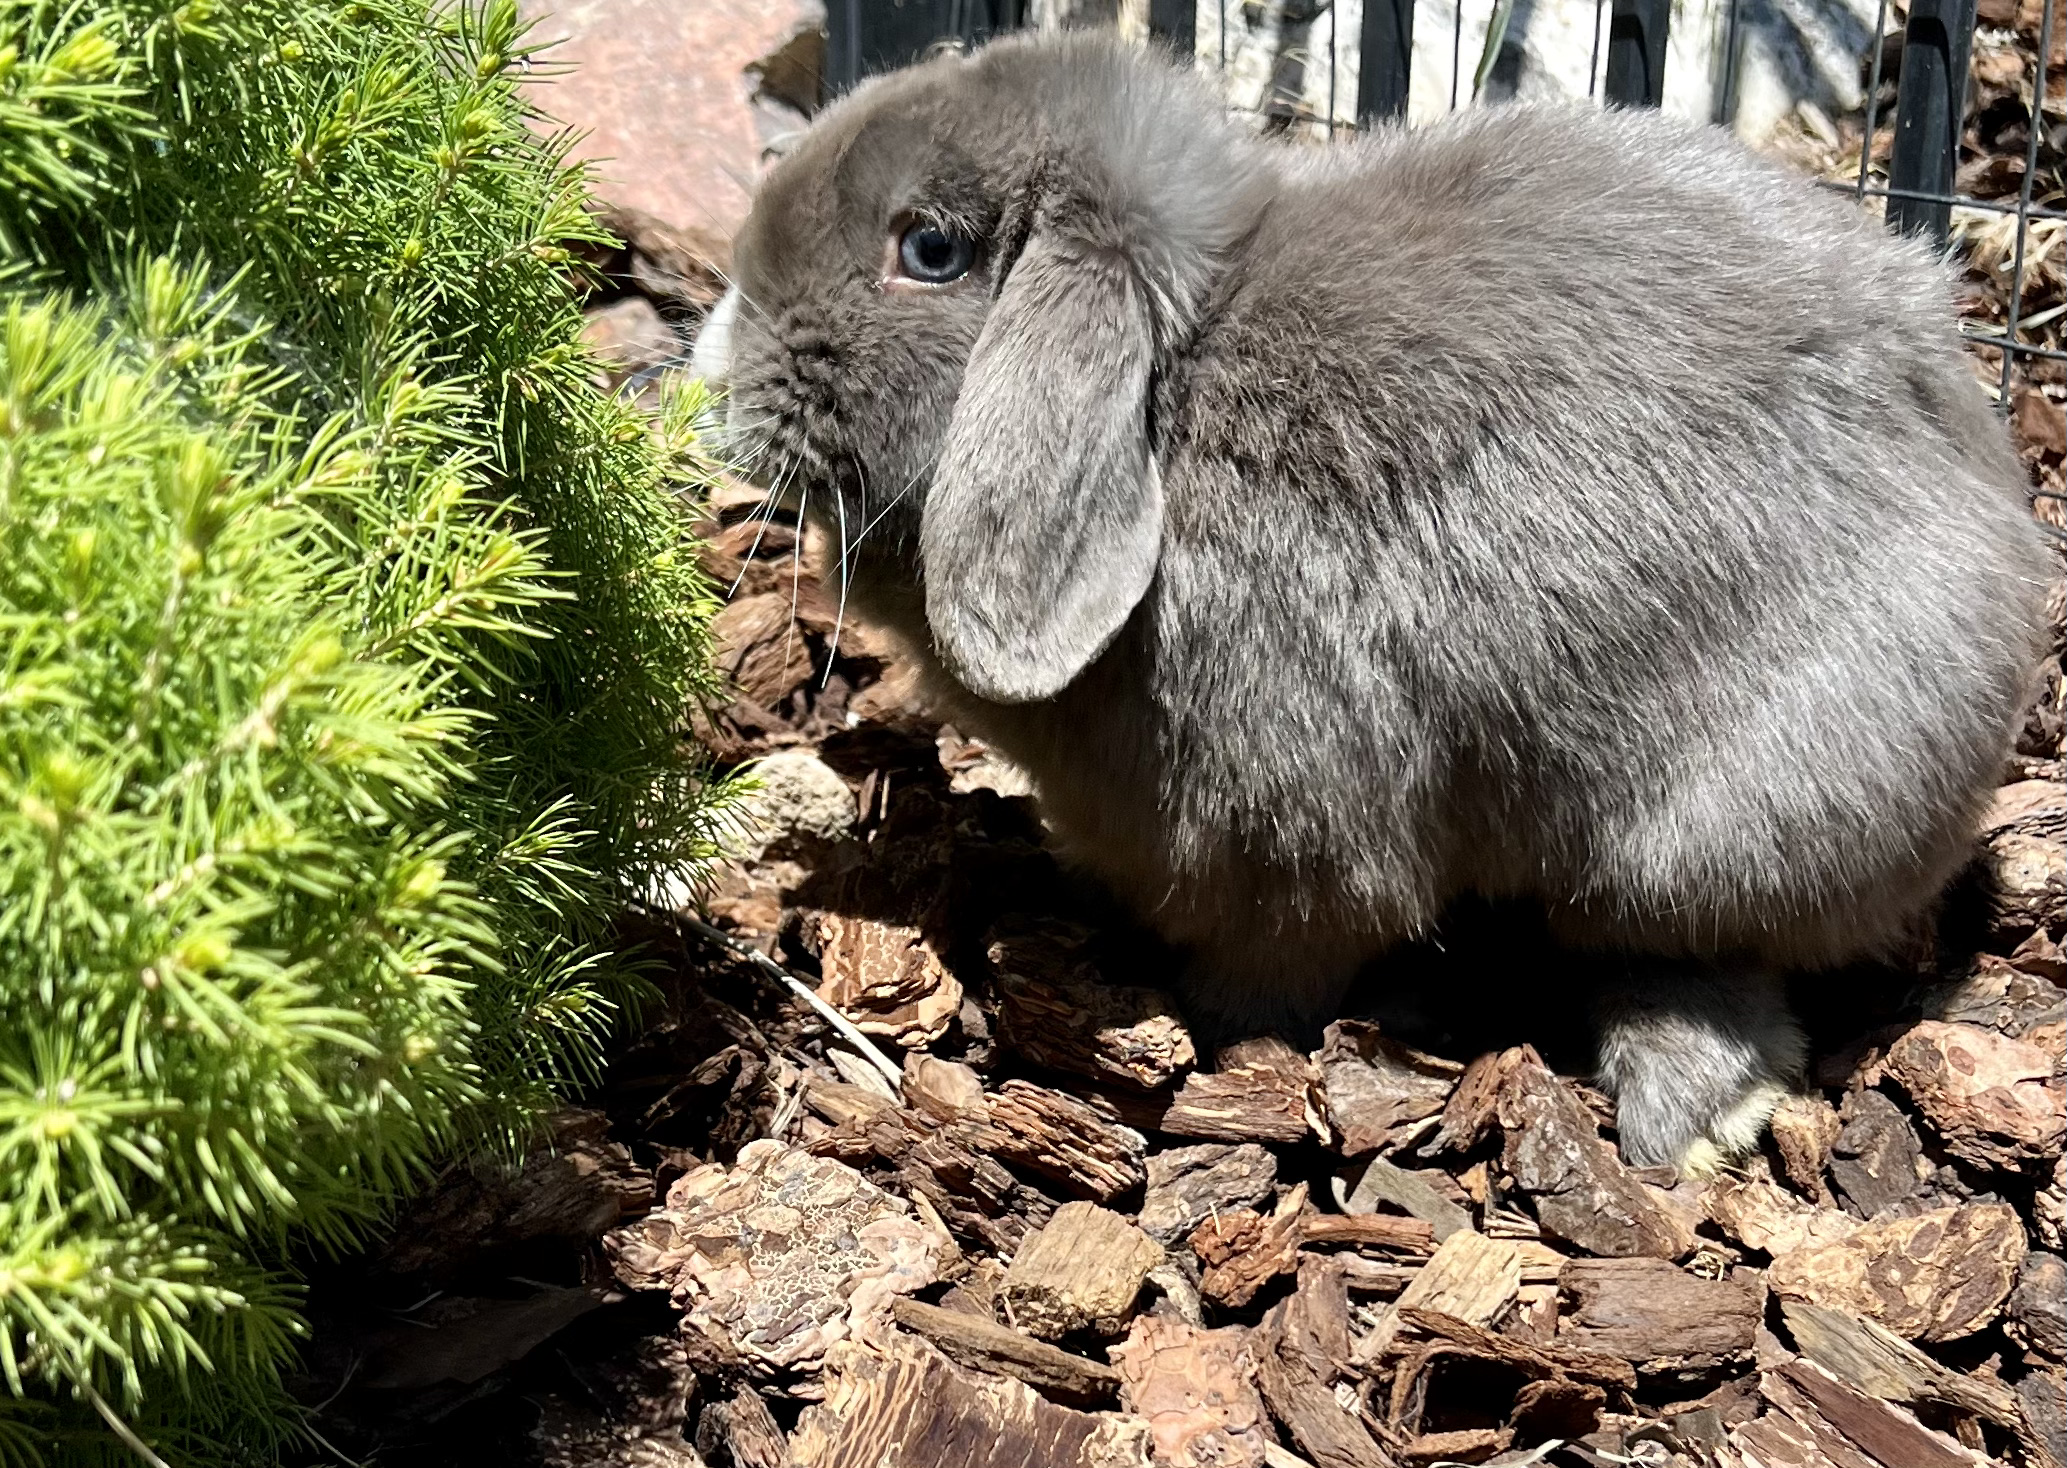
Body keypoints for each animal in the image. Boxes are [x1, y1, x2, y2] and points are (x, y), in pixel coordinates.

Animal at [694, 28, 2050, 1174]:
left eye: (931, 249)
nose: (714, 363)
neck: (1174, 400)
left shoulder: (1284, 837)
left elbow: (1281, 956)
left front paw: (1202, 1023)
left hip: (1704, 843)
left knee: (1712, 966)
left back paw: (1688, 1112)